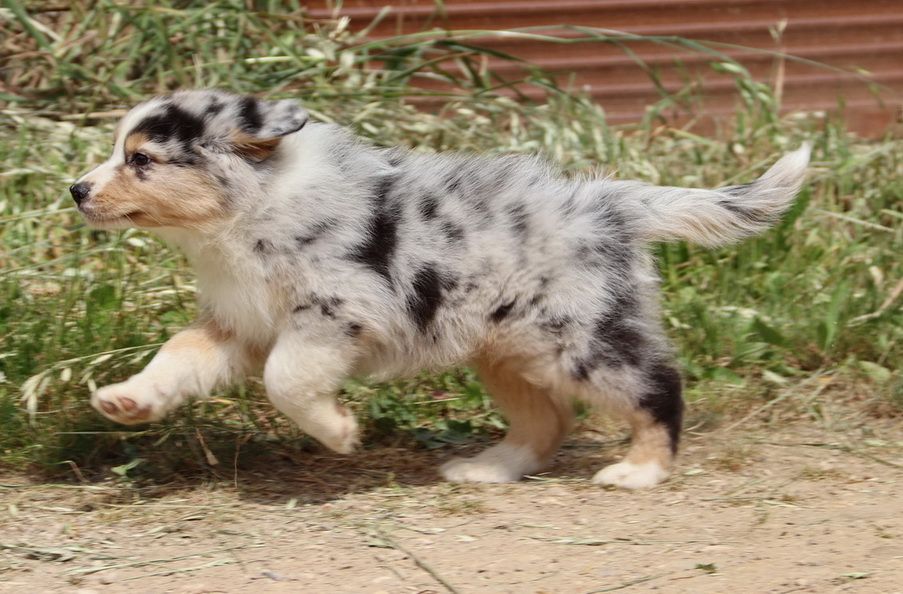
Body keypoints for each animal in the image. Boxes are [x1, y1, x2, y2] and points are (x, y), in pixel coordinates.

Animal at [71, 90, 809, 488]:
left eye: (141, 161)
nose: (75, 190)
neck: (247, 210)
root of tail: (611, 200)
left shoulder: (335, 312)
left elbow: (287, 381)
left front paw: (338, 432)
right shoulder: (239, 323)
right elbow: (177, 354)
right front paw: (127, 400)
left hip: (578, 337)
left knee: (657, 385)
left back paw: (640, 470)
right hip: (507, 347)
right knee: (549, 418)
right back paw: (491, 468)